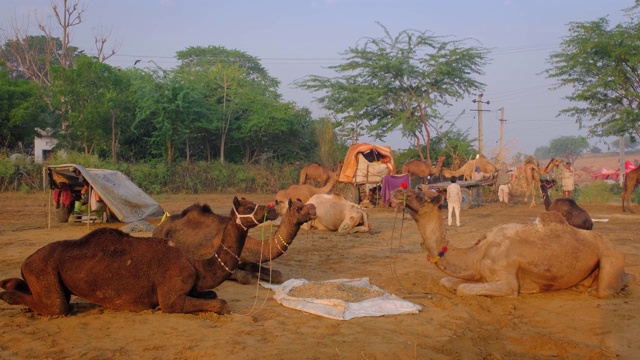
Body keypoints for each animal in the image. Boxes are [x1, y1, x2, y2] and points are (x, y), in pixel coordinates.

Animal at [1, 195, 278, 316]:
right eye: (249, 206)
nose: (273, 210)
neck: (196, 265)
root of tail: (25, 262)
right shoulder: (170, 298)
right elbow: (220, 303)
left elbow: (213, 294)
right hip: (43, 272)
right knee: (56, 306)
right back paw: (8, 296)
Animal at [392, 187, 632, 296]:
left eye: (420, 195)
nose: (396, 191)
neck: (477, 253)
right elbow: (449, 282)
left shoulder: (507, 281)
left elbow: (464, 289)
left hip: (610, 256)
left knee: (607, 288)